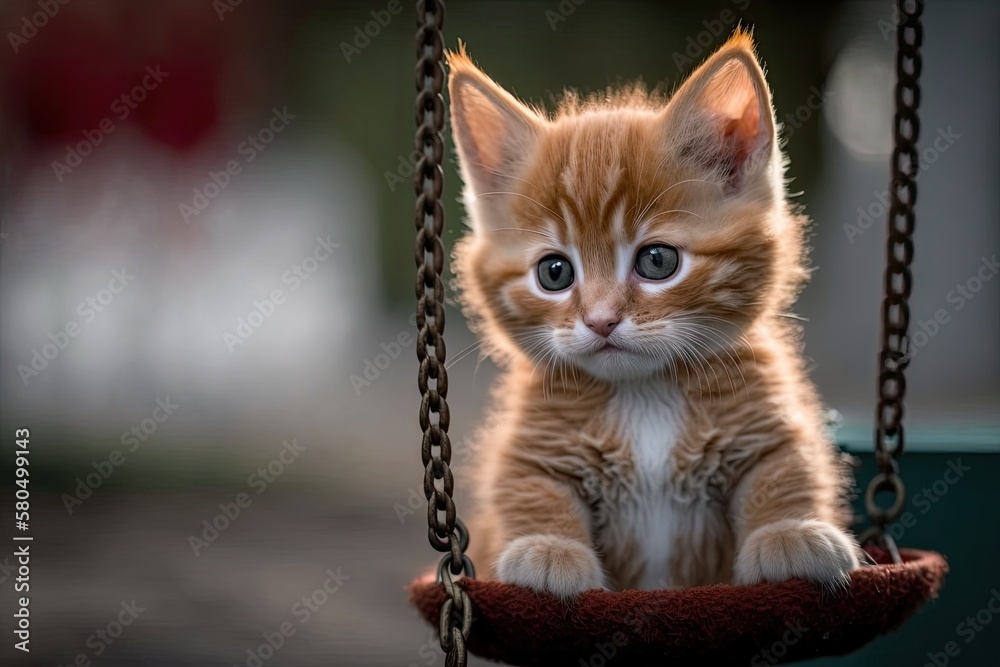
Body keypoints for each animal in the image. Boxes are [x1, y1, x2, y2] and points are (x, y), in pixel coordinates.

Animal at [446, 30, 860, 600]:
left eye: (657, 261)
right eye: (554, 272)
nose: (600, 320)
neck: (644, 392)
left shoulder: (769, 417)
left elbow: (787, 467)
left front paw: (792, 531)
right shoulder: (530, 444)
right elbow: (525, 488)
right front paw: (547, 548)